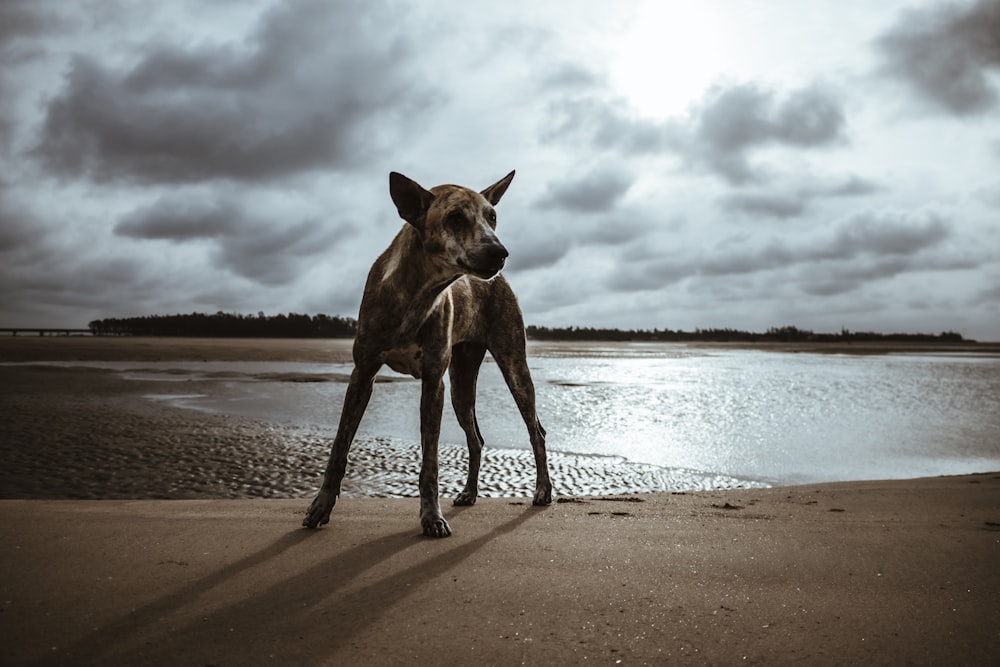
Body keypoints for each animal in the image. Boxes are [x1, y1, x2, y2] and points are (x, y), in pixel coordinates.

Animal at [304, 171, 556, 536]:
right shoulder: (363, 373)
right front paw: (321, 506)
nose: (500, 253)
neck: (417, 294)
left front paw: (431, 517)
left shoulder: (433, 381)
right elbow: (339, 446)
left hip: (513, 366)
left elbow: (431, 462)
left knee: (536, 431)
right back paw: (469, 493)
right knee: (476, 438)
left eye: (492, 216)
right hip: (462, 383)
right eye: (455, 218)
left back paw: (543, 490)